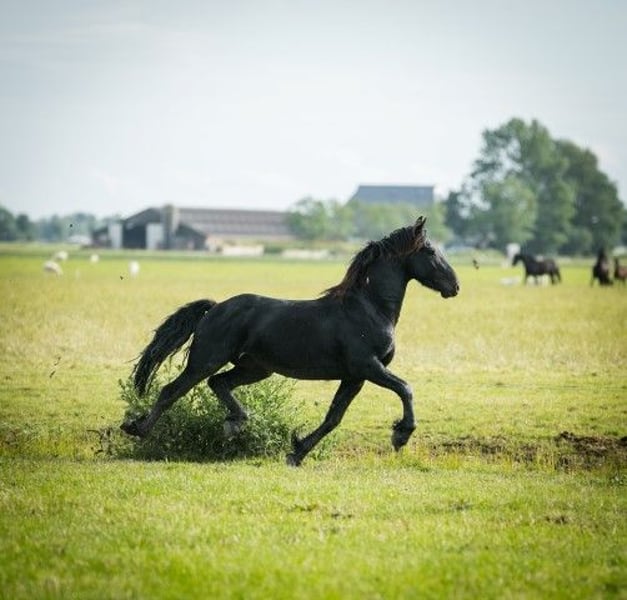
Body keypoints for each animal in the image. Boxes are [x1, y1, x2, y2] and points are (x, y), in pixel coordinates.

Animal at [120, 217, 460, 466]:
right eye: (430, 252)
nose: (454, 286)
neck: (369, 308)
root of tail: (215, 308)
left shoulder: (354, 376)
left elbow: (333, 417)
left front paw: (297, 452)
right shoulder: (368, 366)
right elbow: (405, 388)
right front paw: (401, 435)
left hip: (256, 368)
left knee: (219, 383)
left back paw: (235, 422)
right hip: (207, 359)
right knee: (172, 390)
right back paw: (137, 429)